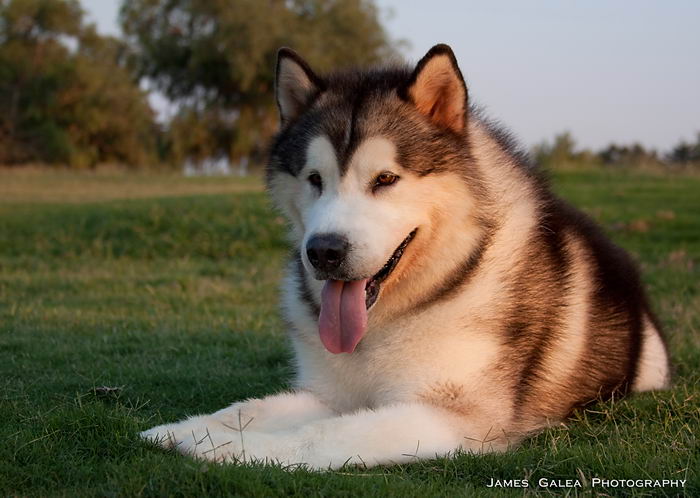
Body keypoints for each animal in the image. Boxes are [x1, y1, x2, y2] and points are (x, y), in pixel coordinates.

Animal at [139, 44, 668, 468]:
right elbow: (247, 407)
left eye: (386, 179)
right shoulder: (334, 392)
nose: (323, 252)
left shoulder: (457, 417)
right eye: (314, 179)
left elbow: (322, 435)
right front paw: (186, 430)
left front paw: (237, 450)